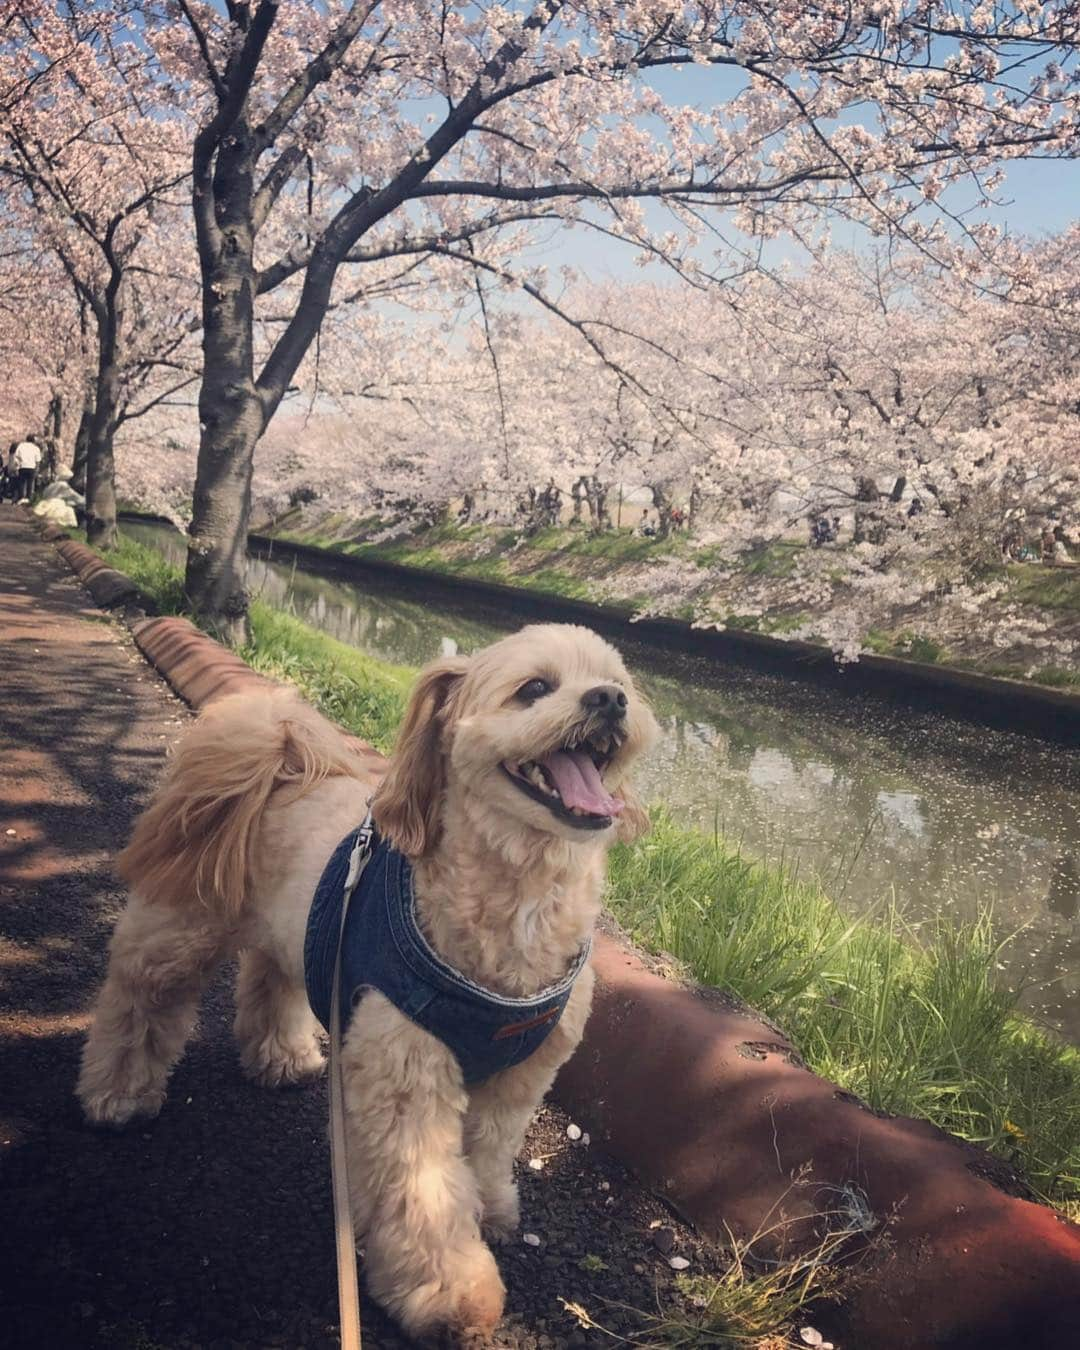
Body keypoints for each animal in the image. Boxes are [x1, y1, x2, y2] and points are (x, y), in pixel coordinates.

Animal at [77, 626, 658, 1344]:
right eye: (535, 689)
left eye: (621, 684)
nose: (609, 700)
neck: (517, 906)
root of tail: (280, 759)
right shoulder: (409, 1074)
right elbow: (425, 1194)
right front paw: (451, 1293)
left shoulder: (518, 1079)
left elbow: (487, 1152)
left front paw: (489, 1208)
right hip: (180, 929)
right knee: (138, 999)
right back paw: (118, 1094)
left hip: (296, 940)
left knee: (269, 980)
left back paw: (283, 1056)